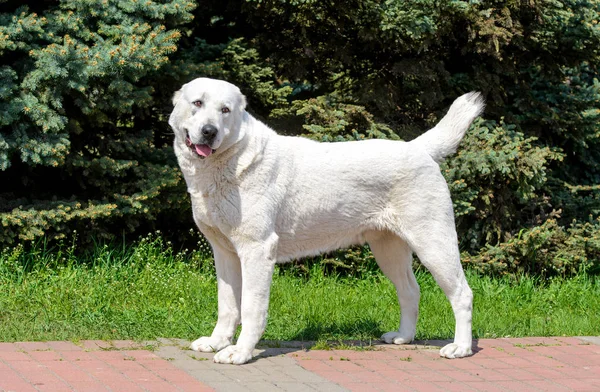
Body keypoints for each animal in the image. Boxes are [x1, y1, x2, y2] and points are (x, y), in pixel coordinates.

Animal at [168, 76, 482, 364]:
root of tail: (418, 148)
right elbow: (227, 305)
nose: (209, 132)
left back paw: (461, 348)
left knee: (463, 294)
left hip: (434, 243)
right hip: (388, 249)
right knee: (410, 291)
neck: (228, 161)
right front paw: (217, 342)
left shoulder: (257, 249)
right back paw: (404, 337)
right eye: (197, 103)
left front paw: (241, 352)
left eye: (225, 110)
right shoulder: (224, 253)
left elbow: (251, 308)